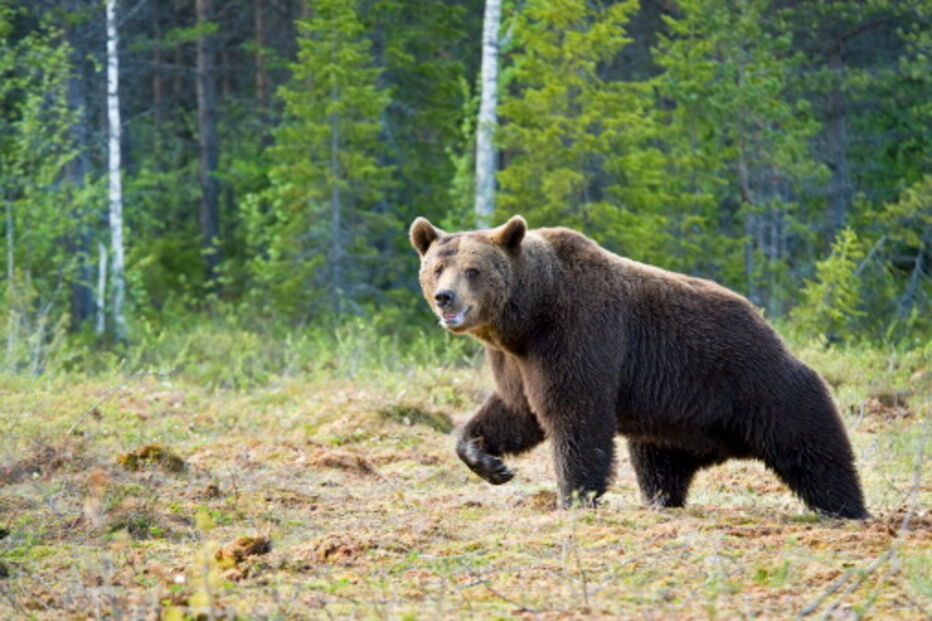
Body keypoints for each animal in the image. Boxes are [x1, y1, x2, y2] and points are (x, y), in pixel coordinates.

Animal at [410, 215, 868, 519]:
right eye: (436, 268)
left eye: (473, 269)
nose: (446, 297)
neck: (528, 315)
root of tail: (766, 325)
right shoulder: (516, 360)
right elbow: (515, 411)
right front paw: (490, 462)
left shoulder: (577, 333)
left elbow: (575, 415)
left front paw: (573, 498)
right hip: (674, 421)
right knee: (658, 466)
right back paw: (661, 503)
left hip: (759, 383)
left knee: (813, 448)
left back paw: (847, 509)